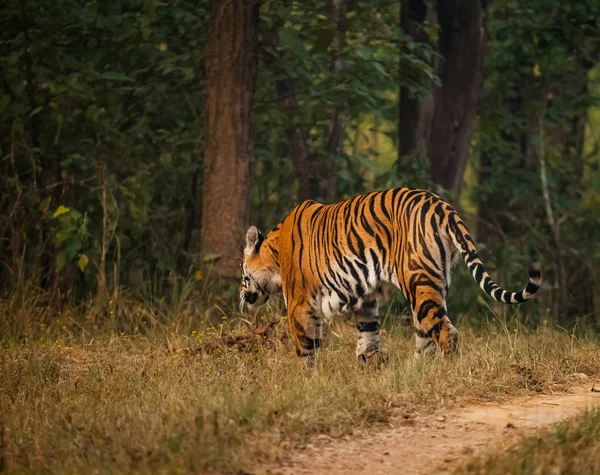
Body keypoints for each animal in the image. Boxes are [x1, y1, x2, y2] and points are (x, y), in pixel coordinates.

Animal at [240, 188, 544, 374]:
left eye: (242, 276)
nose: (241, 298)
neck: (275, 253)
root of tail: (441, 205)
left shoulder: (299, 305)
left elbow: (305, 349)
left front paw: (308, 383)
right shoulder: (366, 300)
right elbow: (368, 337)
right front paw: (373, 364)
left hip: (418, 281)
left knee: (445, 332)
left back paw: (445, 371)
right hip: (430, 285)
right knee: (426, 335)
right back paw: (414, 372)